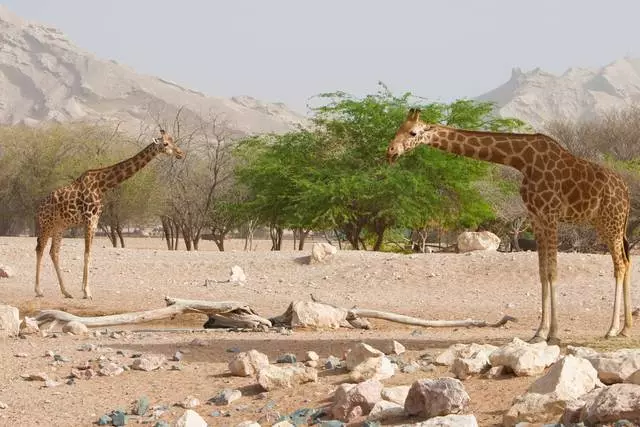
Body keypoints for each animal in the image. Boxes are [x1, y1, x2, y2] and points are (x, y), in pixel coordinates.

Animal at [34, 129, 184, 300]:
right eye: (165, 143)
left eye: (173, 140)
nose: (181, 153)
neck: (102, 186)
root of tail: (39, 207)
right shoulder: (89, 219)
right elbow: (87, 253)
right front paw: (86, 291)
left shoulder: (95, 220)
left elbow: (89, 253)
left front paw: (85, 289)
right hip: (46, 224)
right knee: (40, 249)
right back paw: (38, 290)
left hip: (59, 226)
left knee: (54, 252)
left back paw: (66, 292)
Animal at [388, 108, 632, 344]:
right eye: (398, 128)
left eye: (413, 133)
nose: (390, 152)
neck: (523, 160)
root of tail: (627, 193)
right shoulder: (536, 218)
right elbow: (542, 272)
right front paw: (539, 333)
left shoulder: (550, 215)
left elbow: (552, 272)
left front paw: (554, 333)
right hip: (605, 224)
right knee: (627, 262)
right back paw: (625, 329)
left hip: (611, 222)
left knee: (619, 265)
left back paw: (612, 330)